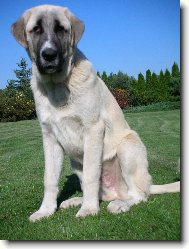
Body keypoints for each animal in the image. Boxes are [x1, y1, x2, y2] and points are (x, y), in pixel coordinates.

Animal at [11, 4, 180, 222]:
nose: (49, 55)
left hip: (128, 147)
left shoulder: (92, 130)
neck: (57, 86)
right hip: (75, 161)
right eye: (36, 29)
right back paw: (77, 200)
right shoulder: (49, 137)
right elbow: (49, 178)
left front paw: (89, 210)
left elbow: (92, 174)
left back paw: (120, 204)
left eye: (61, 29)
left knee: (139, 195)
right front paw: (45, 210)